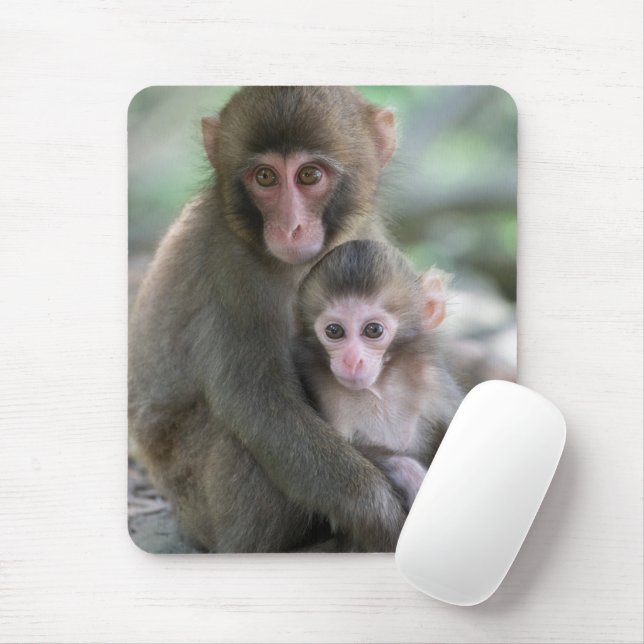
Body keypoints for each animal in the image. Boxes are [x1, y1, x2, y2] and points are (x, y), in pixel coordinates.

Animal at [129, 86, 411, 553]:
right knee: (244, 438)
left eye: (309, 176)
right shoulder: (231, 269)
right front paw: (381, 517)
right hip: (195, 499)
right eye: (265, 178)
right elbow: (259, 403)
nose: (290, 226)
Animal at [295, 240, 463, 511]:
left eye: (373, 330)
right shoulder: (321, 386)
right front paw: (410, 473)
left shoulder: (430, 379)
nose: (352, 360)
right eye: (334, 331)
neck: (380, 388)